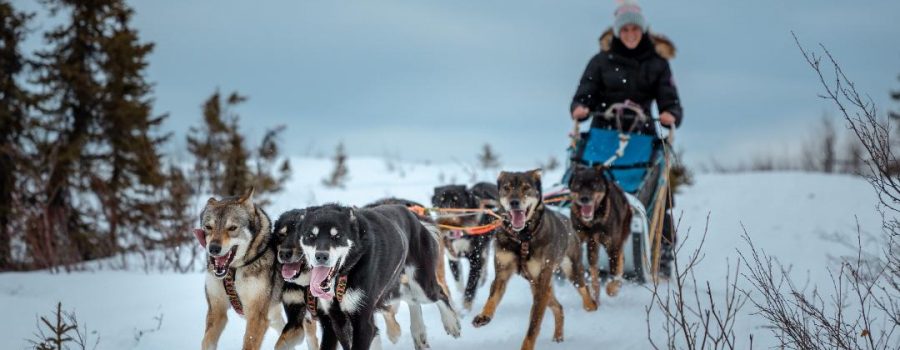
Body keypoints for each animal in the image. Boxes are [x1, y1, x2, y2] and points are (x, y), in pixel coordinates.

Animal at [288, 204, 460, 348]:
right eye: (311, 236)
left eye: (337, 236)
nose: (321, 256)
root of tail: (411, 214)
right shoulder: (338, 321)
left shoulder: (363, 322)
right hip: (391, 292)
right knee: (413, 300)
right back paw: (419, 333)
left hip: (422, 286)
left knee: (440, 294)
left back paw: (451, 323)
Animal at [434, 182, 502, 310]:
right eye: (441, 200)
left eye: (456, 200)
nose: (445, 214)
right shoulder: (452, 257)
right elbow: (458, 281)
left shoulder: (475, 258)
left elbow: (470, 287)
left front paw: (465, 309)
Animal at [472, 170, 596, 350]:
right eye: (507, 188)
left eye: (526, 188)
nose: (514, 202)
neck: (522, 237)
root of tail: (567, 221)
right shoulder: (502, 273)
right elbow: (493, 298)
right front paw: (484, 315)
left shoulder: (541, 283)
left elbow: (534, 326)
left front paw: (527, 345)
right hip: (539, 286)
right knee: (558, 307)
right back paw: (558, 336)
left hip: (569, 272)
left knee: (585, 292)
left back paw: (591, 306)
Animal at [568, 164, 632, 300]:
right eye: (578, 185)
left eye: (593, 185)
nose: (584, 198)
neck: (593, 223)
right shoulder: (582, 240)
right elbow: (591, 270)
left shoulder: (612, 246)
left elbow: (614, 270)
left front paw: (612, 288)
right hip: (593, 245)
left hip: (617, 239)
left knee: (620, 260)